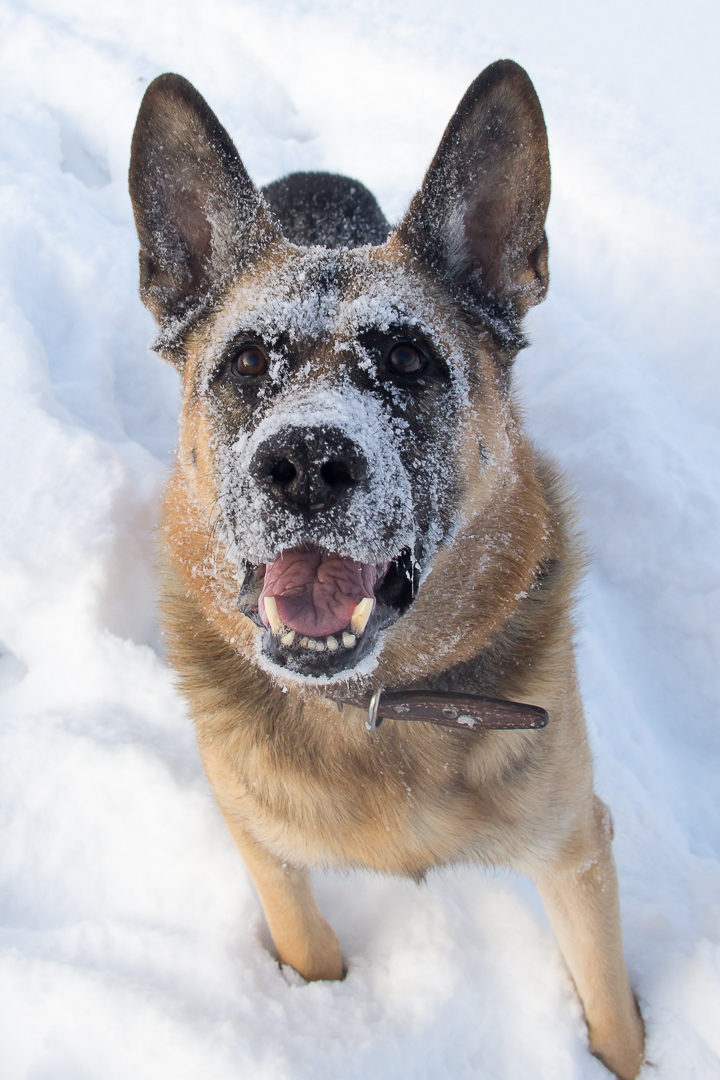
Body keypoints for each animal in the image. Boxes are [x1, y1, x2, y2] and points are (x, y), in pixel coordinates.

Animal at [129, 61, 647, 1080]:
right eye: (246, 360)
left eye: (408, 357)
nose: (305, 462)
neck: (373, 710)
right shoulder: (260, 845)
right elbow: (306, 943)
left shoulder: (578, 847)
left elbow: (613, 1014)